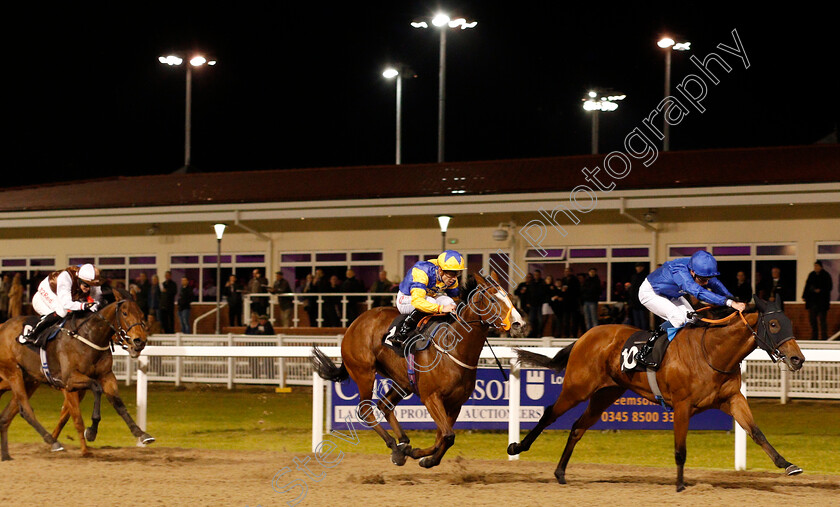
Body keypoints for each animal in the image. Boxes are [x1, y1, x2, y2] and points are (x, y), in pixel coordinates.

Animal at [0, 288, 149, 458]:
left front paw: (141, 433)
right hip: (14, 373)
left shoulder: (106, 376)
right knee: (26, 410)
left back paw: (6, 455)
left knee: (8, 415)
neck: (89, 336)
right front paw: (90, 435)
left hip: (28, 380)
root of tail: (3, 326)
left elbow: (118, 404)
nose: (140, 341)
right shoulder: (69, 381)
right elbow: (91, 395)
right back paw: (53, 442)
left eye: (141, 314)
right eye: (125, 313)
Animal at [312, 274, 528, 468]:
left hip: (402, 381)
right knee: (366, 410)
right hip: (364, 372)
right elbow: (447, 435)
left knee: (385, 405)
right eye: (493, 299)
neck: (453, 347)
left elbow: (443, 436)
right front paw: (421, 455)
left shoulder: (455, 403)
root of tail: (353, 325)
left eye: (509, 296)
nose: (519, 324)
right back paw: (395, 446)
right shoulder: (431, 397)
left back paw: (402, 444)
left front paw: (425, 457)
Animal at [508, 298, 804, 492]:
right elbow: (680, 449)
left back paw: (560, 473)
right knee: (550, 414)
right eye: (774, 324)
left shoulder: (732, 399)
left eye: (789, 323)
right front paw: (680, 485)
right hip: (577, 387)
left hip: (606, 393)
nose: (797, 359)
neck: (712, 351)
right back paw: (517, 447)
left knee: (578, 427)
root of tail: (584, 336)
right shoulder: (683, 405)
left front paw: (787, 464)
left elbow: (755, 432)